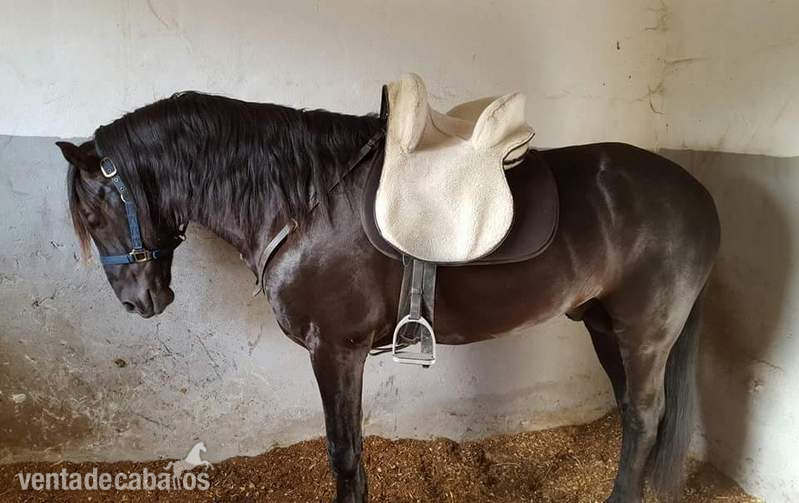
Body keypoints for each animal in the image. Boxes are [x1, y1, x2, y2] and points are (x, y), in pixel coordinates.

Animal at [56, 91, 720, 503]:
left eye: (92, 213)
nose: (139, 303)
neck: (305, 203)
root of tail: (695, 193)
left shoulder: (335, 350)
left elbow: (343, 452)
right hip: (605, 326)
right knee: (634, 414)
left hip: (645, 332)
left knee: (644, 413)